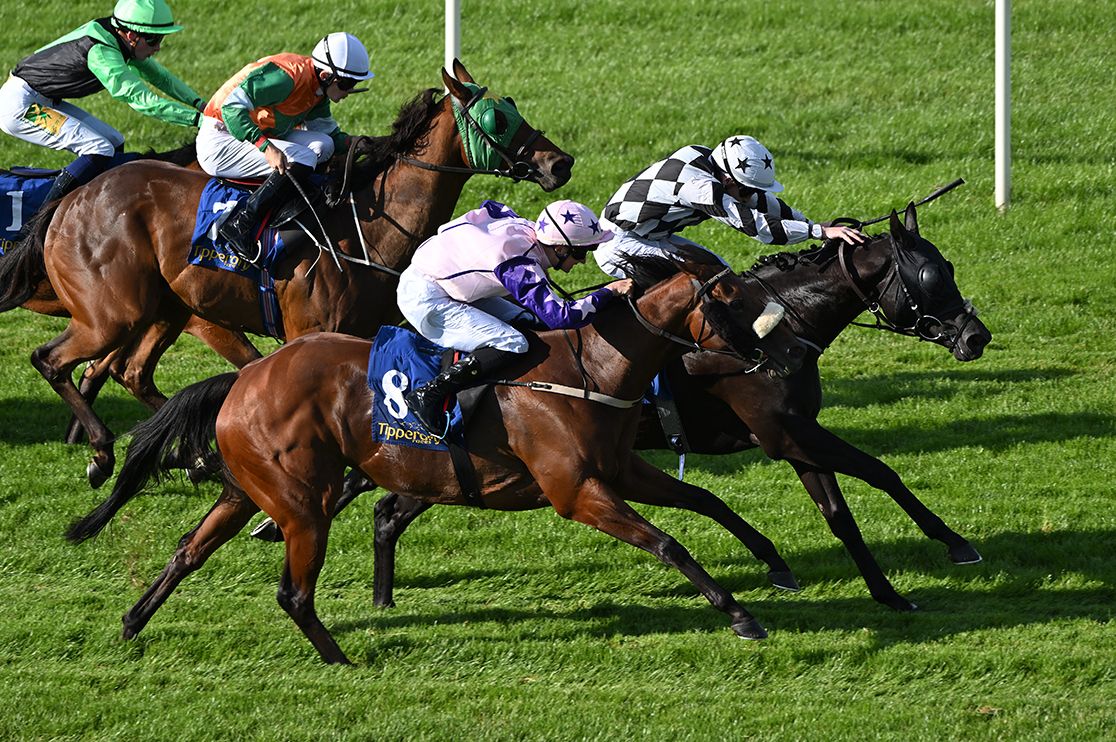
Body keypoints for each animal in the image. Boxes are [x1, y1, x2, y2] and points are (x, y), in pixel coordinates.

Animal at [13, 59, 574, 488]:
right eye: (498, 119)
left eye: (514, 107)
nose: (560, 163)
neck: (364, 227)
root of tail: (73, 195)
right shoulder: (308, 332)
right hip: (113, 313)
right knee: (51, 360)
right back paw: (101, 451)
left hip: (168, 308)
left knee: (130, 371)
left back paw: (191, 456)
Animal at [65, 244, 808, 664]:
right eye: (732, 300)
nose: (785, 352)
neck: (591, 366)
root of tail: (246, 378)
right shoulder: (576, 491)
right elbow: (667, 543)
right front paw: (739, 615)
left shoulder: (620, 468)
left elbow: (705, 500)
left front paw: (775, 567)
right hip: (302, 502)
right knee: (292, 593)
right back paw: (341, 660)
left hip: (247, 488)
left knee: (188, 551)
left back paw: (132, 623)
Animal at [346, 203, 994, 612]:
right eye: (930, 275)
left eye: (949, 268)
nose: (977, 337)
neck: (787, 320)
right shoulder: (784, 434)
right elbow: (880, 472)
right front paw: (954, 543)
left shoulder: (794, 436)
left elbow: (840, 512)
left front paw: (886, 591)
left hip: (465, 470)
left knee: (389, 510)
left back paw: (382, 599)